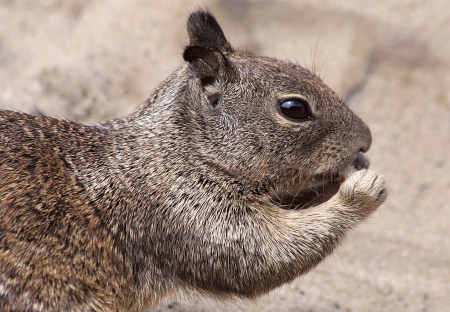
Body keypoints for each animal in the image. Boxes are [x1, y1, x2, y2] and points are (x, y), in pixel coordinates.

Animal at [0, 9, 386, 312]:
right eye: (294, 108)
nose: (366, 139)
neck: (180, 150)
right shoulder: (187, 215)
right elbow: (267, 255)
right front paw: (361, 191)